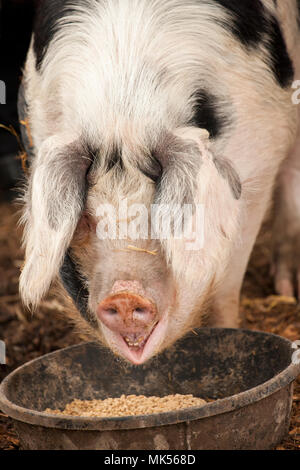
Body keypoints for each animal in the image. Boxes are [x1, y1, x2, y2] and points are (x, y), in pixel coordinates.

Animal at [18, 0, 300, 366]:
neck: (124, 118)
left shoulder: (259, 163)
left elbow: (226, 284)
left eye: (158, 212)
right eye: (86, 219)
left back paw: (285, 290)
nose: (124, 296)